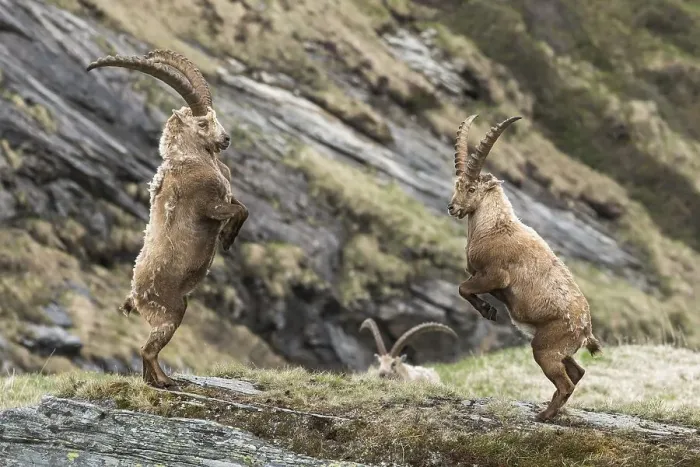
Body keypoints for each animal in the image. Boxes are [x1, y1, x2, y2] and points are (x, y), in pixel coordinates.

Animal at [87, 49, 249, 388]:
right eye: (202, 122)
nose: (226, 139)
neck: (194, 160)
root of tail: (135, 297)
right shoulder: (208, 205)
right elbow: (238, 210)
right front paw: (227, 239)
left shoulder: (226, 194)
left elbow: (241, 205)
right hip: (169, 311)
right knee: (147, 349)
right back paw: (165, 381)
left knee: (146, 352)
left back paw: (155, 381)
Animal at [447, 114, 602, 421]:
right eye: (457, 185)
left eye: (471, 188)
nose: (452, 208)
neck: (494, 226)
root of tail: (585, 329)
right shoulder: (481, 276)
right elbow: (465, 288)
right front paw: (489, 309)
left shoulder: (495, 275)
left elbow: (463, 288)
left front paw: (488, 310)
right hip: (559, 349)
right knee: (578, 372)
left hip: (545, 348)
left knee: (566, 382)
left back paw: (543, 416)